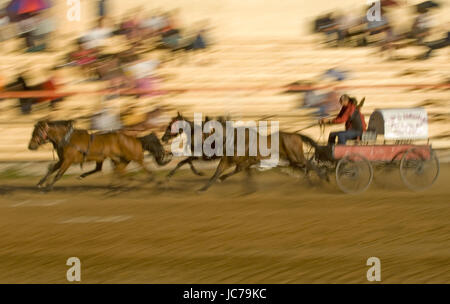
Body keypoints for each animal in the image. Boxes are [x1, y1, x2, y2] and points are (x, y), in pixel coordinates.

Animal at [27, 120, 171, 190]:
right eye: (33, 132)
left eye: (37, 132)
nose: (30, 146)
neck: (67, 139)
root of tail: (136, 139)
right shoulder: (62, 159)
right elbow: (51, 169)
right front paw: (40, 183)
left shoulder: (68, 160)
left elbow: (58, 174)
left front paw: (49, 186)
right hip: (119, 159)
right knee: (117, 171)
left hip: (134, 157)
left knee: (145, 168)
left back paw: (154, 182)